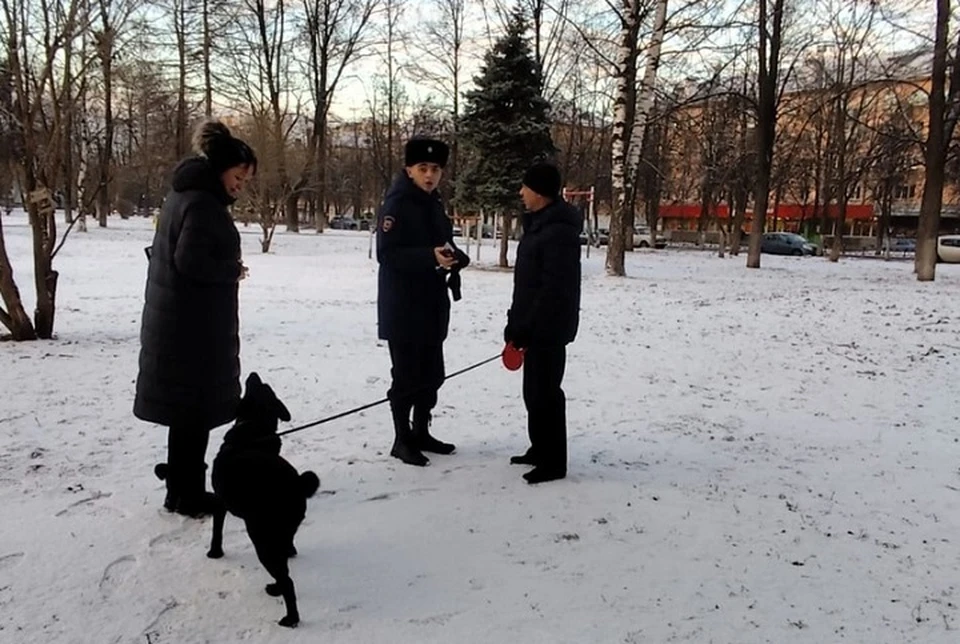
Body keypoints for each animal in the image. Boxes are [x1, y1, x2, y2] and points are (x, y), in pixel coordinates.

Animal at [205, 372, 318, 628]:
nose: (253, 374)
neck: (254, 427)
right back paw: (276, 588)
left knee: (287, 580)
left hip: (262, 539)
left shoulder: (220, 501)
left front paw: (215, 552)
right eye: (265, 387)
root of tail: (296, 484)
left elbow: (217, 529)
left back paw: (290, 618)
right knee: (286, 561)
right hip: (283, 533)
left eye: (255, 387)